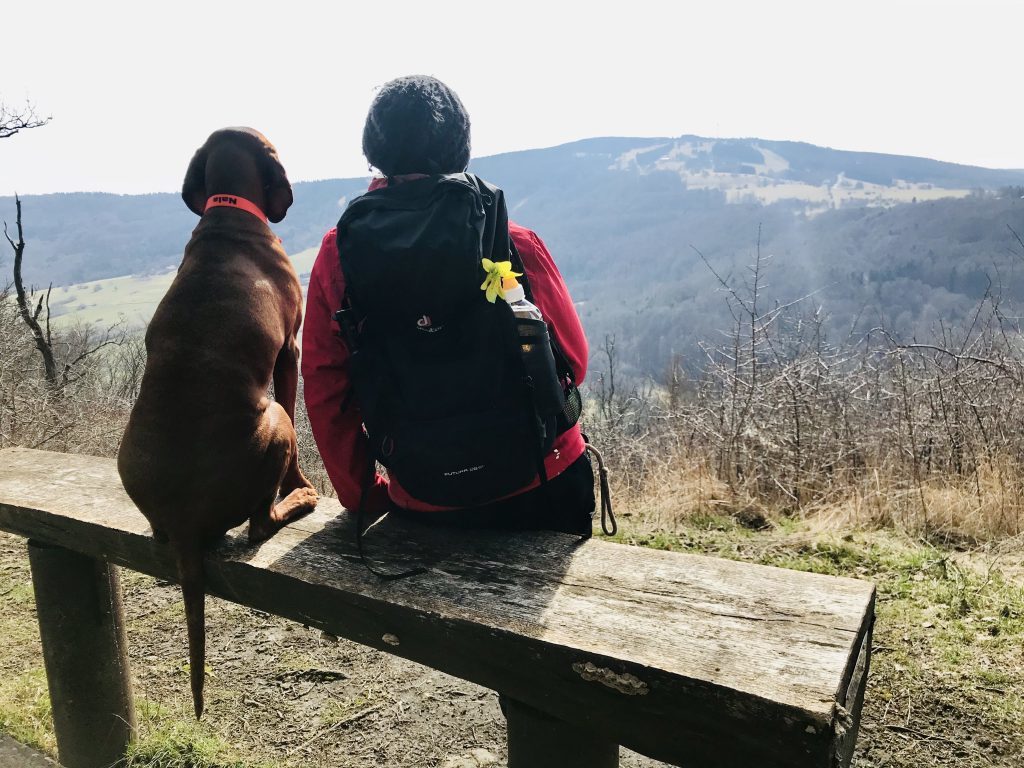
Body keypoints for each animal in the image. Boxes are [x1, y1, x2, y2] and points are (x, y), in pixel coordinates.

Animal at [117, 128, 315, 720]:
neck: (229, 210)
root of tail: (183, 524)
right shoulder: (290, 350)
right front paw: (299, 482)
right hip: (274, 420)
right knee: (260, 523)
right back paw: (300, 499)